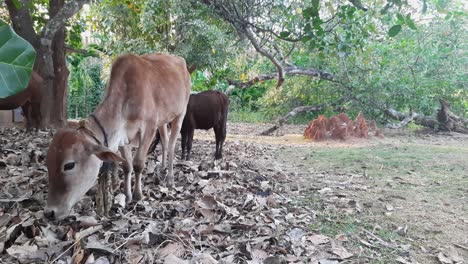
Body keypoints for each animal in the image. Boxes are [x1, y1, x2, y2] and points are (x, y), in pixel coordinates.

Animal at [43, 53, 190, 219]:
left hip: (180, 114)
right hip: (163, 121)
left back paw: (170, 178)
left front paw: (138, 195)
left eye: (69, 165)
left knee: (171, 145)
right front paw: (127, 194)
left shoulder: (149, 128)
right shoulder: (123, 137)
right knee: (164, 142)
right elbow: (127, 165)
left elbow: (138, 163)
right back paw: (163, 168)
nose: (49, 213)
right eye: (47, 163)